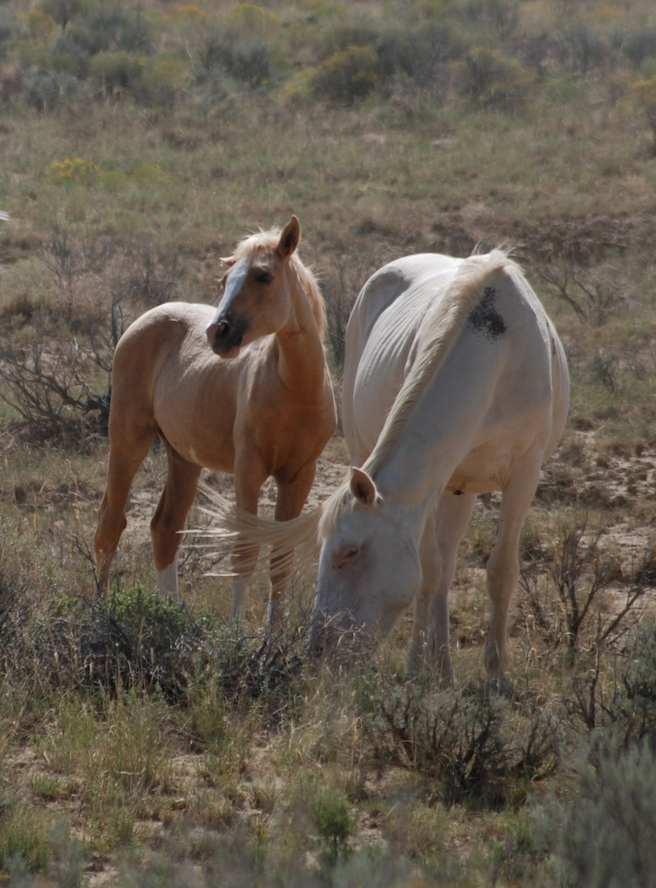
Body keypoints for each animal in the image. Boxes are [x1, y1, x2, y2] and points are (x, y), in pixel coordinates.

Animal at [96, 217, 338, 624]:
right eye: (225, 280)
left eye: (263, 276)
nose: (217, 333)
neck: (296, 392)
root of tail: (142, 321)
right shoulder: (248, 470)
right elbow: (244, 550)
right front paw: (236, 631)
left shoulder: (300, 476)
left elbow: (280, 558)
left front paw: (272, 634)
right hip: (128, 439)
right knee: (111, 525)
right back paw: (97, 613)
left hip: (183, 458)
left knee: (165, 527)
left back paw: (170, 613)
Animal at [200, 250, 568, 688]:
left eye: (350, 552)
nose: (319, 653)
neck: (497, 351)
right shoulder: (432, 481)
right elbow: (429, 570)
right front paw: (419, 667)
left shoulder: (524, 473)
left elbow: (501, 571)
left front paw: (496, 677)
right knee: (442, 568)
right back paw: (439, 664)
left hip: (462, 485)